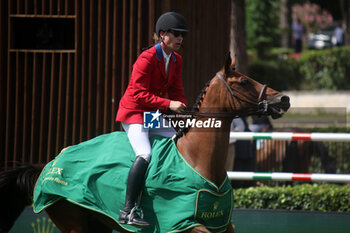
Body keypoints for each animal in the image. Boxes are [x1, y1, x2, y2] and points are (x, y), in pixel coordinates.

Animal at [0, 53, 290, 233]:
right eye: (243, 82)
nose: (284, 100)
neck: (198, 161)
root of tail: (49, 165)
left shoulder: (222, 225)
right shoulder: (182, 224)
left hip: (97, 223)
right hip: (73, 221)